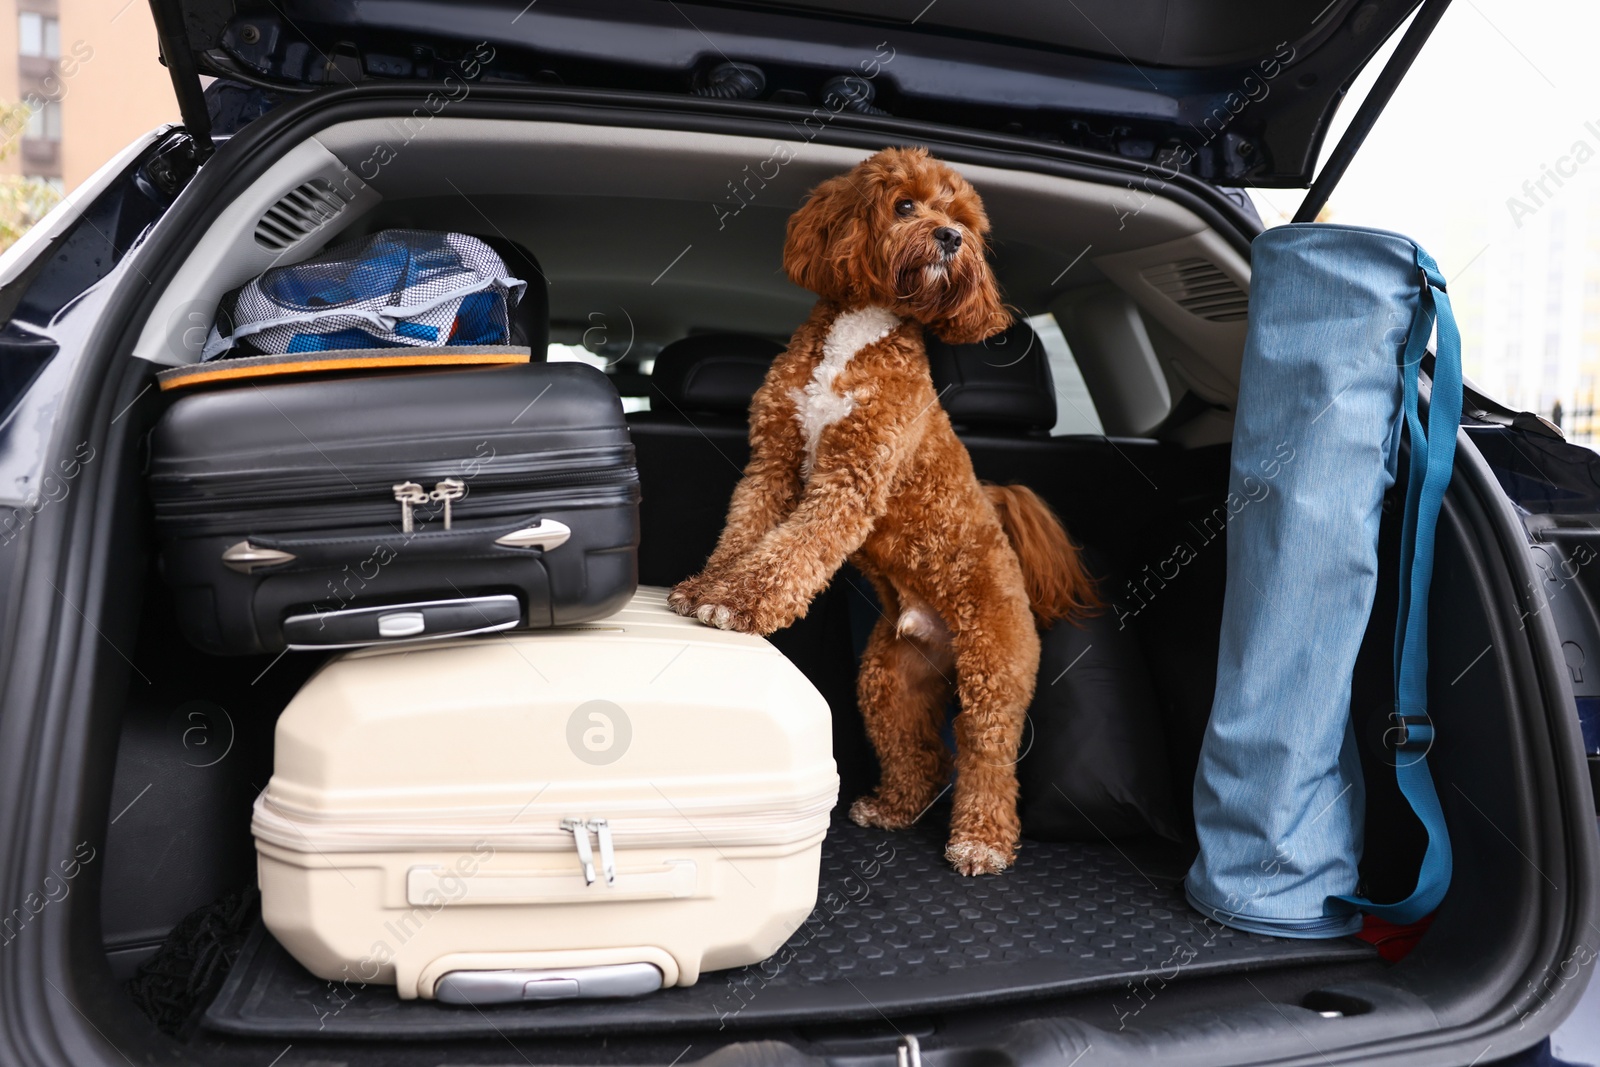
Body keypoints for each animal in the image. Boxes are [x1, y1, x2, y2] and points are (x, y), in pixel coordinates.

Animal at [665, 143, 1100, 876]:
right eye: (904, 205)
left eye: (964, 221)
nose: (950, 238)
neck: (861, 329)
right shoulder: (774, 464)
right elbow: (746, 531)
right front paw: (709, 587)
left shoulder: (852, 478)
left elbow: (792, 551)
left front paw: (734, 603)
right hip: (890, 682)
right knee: (920, 754)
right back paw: (894, 808)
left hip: (995, 669)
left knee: (986, 758)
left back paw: (981, 840)